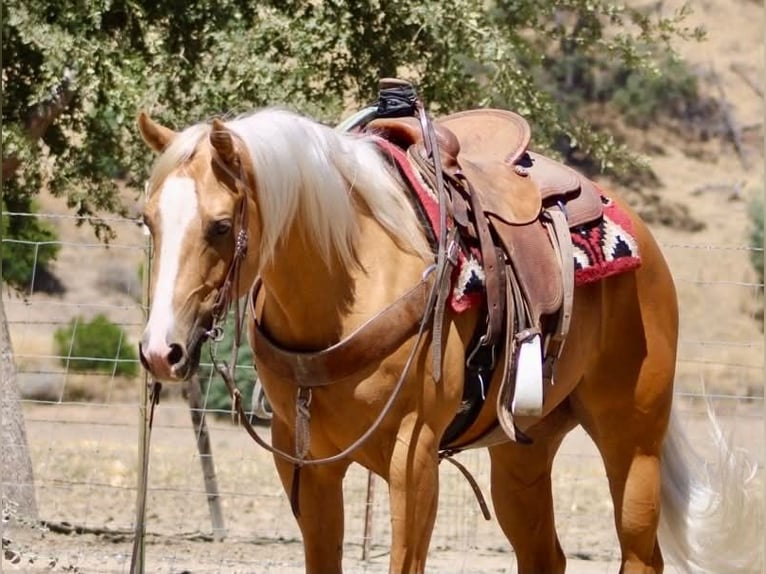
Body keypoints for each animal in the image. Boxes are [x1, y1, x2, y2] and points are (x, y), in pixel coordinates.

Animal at [136, 103, 758, 574]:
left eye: (220, 226)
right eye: (148, 220)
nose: (160, 351)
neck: (350, 279)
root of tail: (640, 235)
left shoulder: (414, 456)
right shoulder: (306, 459)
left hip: (633, 439)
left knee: (640, 555)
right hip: (523, 452)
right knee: (544, 556)